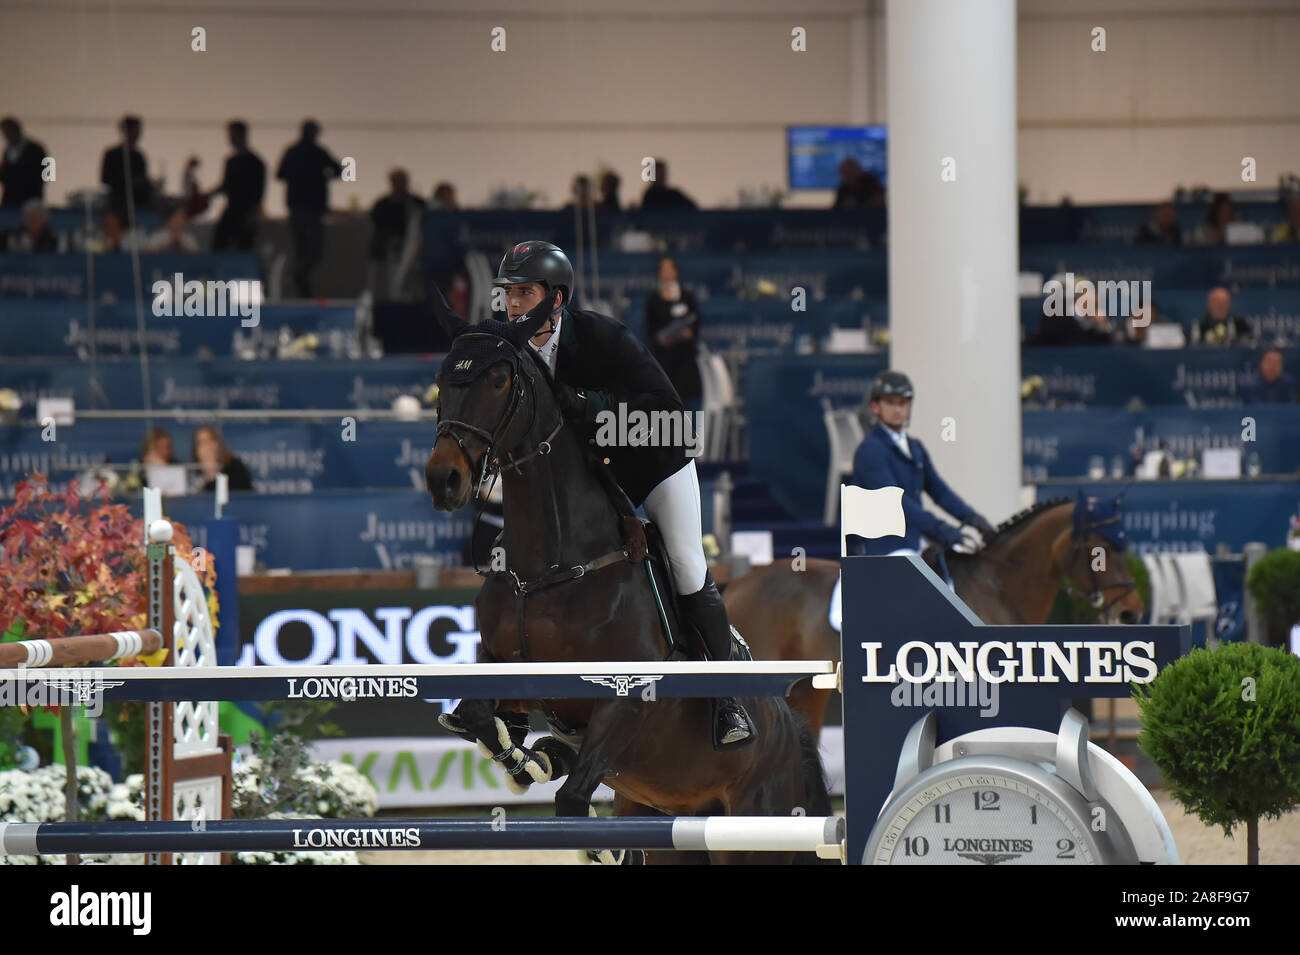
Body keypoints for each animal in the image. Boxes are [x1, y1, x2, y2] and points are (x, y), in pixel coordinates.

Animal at [426, 315, 832, 867]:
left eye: (498, 380)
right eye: (442, 381)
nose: (442, 480)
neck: (551, 564)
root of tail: (789, 729)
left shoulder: (625, 702)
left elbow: (572, 799)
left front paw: (593, 837)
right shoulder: (499, 664)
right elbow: (477, 715)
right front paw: (530, 759)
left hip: (753, 830)